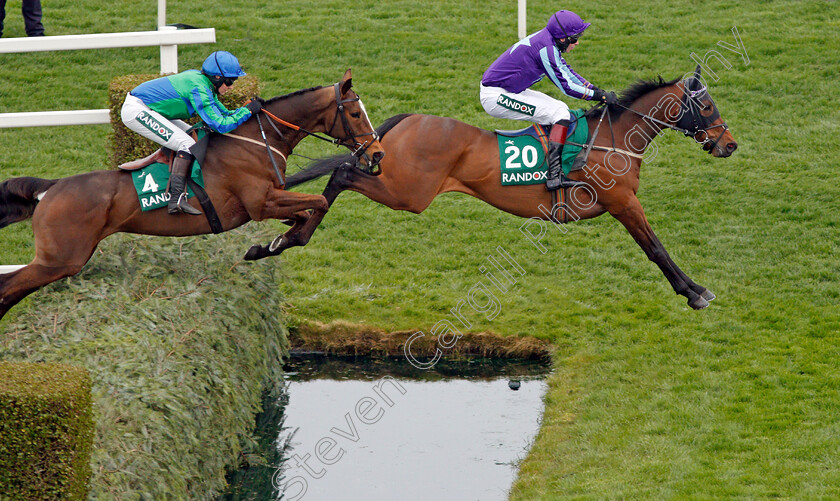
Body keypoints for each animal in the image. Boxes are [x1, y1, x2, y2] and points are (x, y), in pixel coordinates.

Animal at [0, 68, 386, 318]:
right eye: (355, 113)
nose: (378, 153)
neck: (255, 141)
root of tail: (51, 189)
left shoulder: (270, 201)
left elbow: (304, 214)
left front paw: (272, 244)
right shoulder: (260, 203)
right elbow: (317, 203)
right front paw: (274, 244)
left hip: (60, 260)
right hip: (61, 259)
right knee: (7, 287)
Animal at [260, 65, 736, 308]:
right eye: (707, 106)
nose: (729, 144)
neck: (614, 137)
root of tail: (408, 120)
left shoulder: (622, 202)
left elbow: (655, 247)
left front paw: (694, 289)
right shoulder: (623, 201)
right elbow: (656, 248)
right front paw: (694, 292)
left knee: (341, 175)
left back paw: (281, 238)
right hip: (408, 192)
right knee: (342, 176)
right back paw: (285, 239)